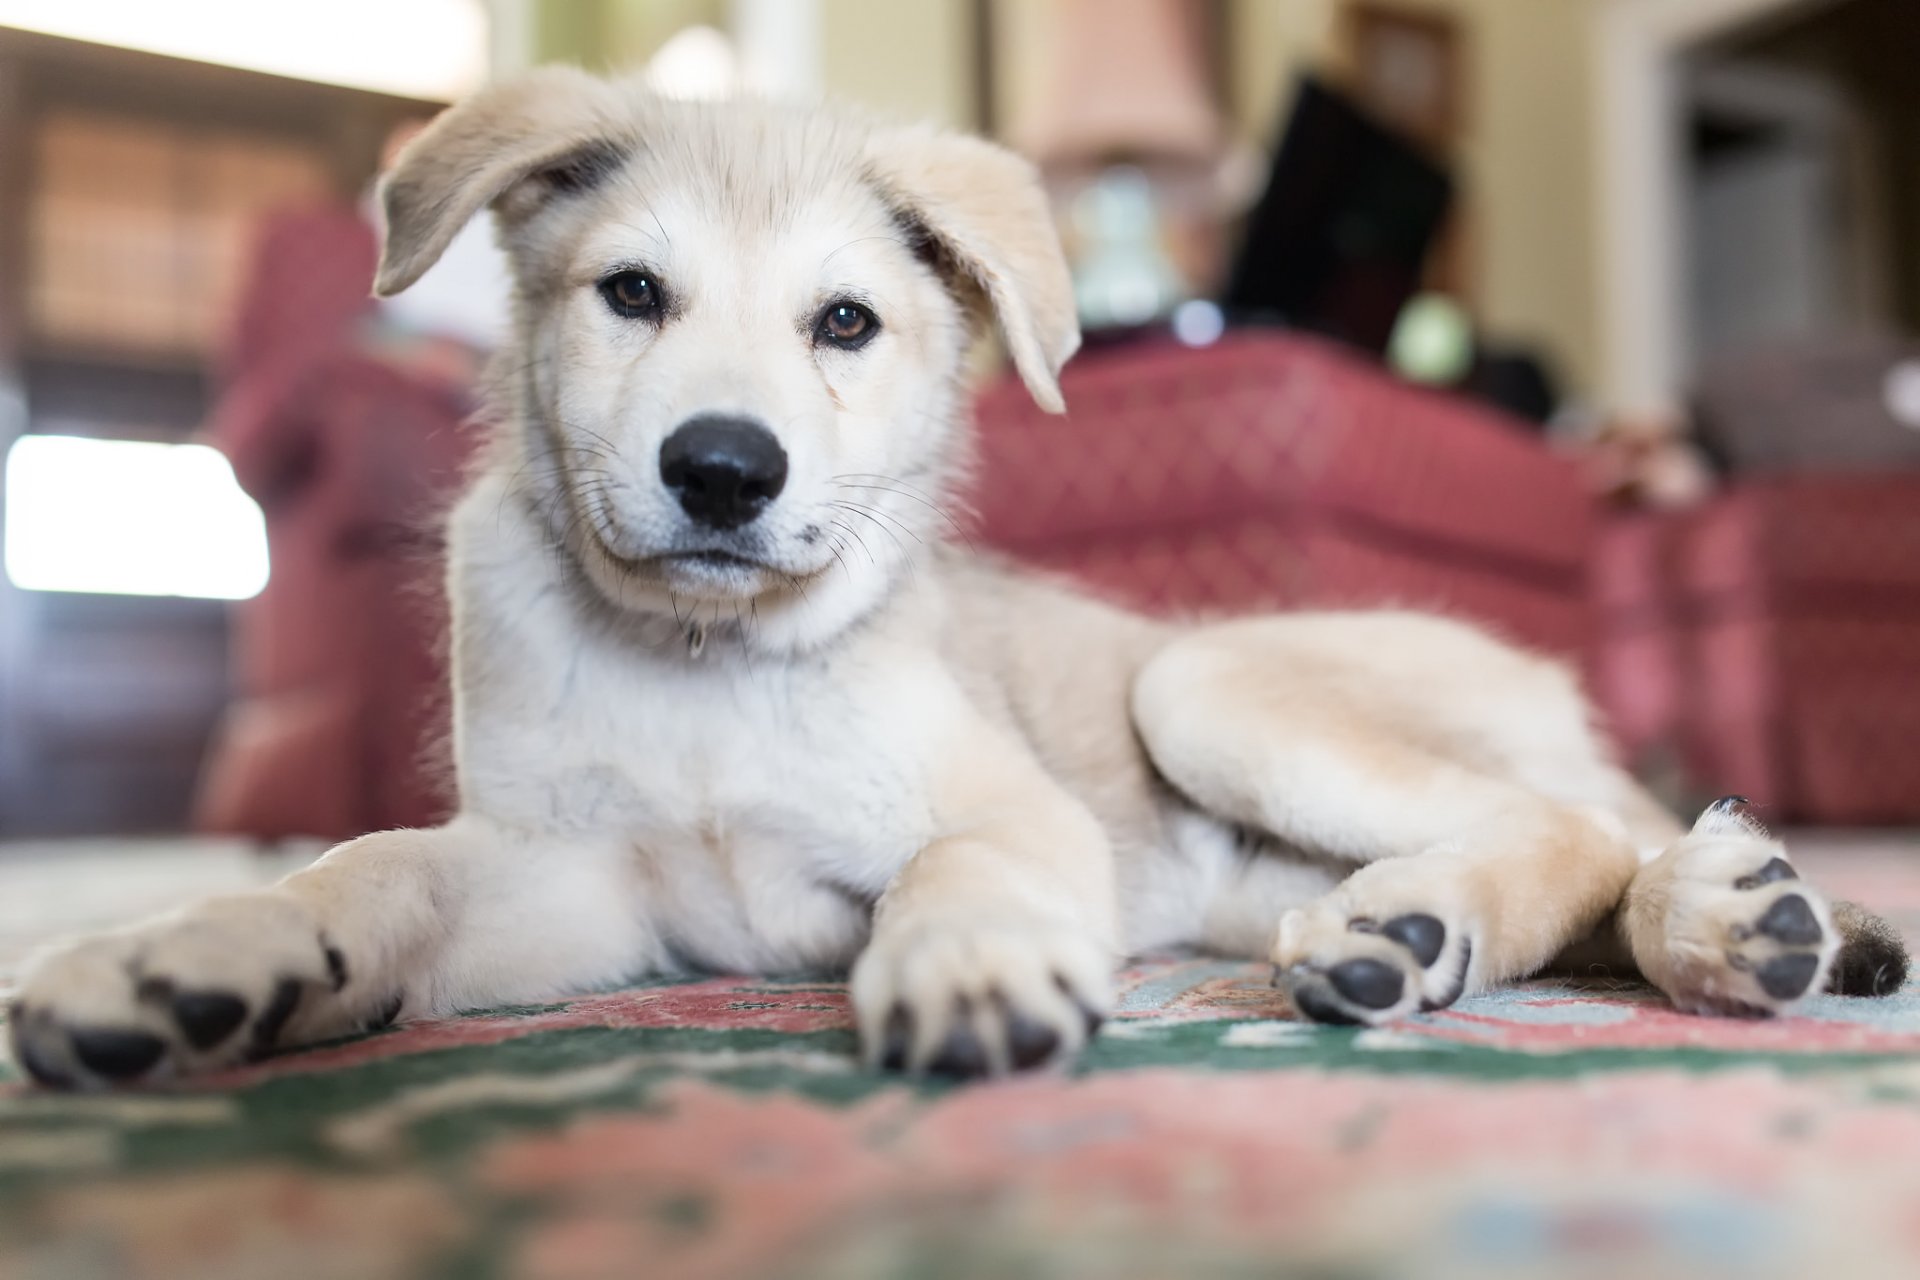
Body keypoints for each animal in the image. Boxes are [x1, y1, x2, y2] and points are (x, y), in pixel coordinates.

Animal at [11, 70, 1904, 1090]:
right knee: (1603, 843)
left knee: (1583, 825)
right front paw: (196, 957)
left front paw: (971, 967)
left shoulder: (1008, 808)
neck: (711, 673)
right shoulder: (581, 889)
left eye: (846, 323)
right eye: (630, 295)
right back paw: (1707, 917)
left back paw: (1560, 920)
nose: (722, 470)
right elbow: (370, 867)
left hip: (1202, 680)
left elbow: (960, 864)